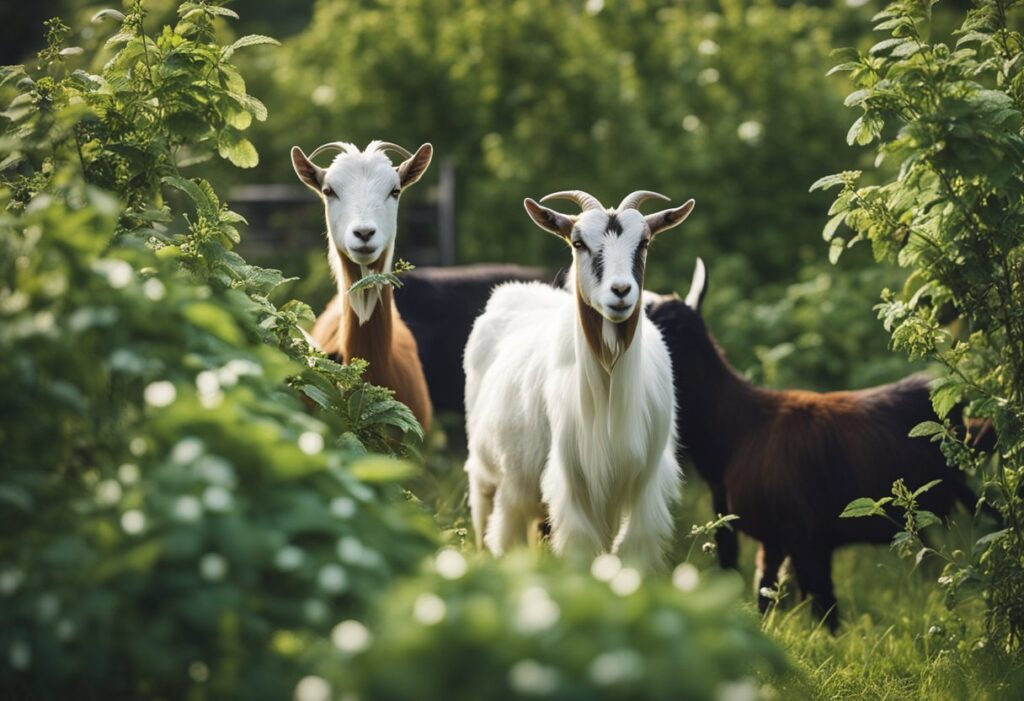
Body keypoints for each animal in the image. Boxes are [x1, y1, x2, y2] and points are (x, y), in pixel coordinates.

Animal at [463, 190, 695, 570]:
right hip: (490, 474)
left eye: (644, 241)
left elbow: (632, 552)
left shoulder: (644, 484)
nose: (621, 291)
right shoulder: (571, 480)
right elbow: (581, 551)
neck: (610, 389)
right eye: (578, 242)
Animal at [646, 259, 987, 628]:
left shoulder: (806, 534)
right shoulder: (773, 538)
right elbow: (766, 596)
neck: (735, 434)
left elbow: (826, 612)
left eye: (666, 324)